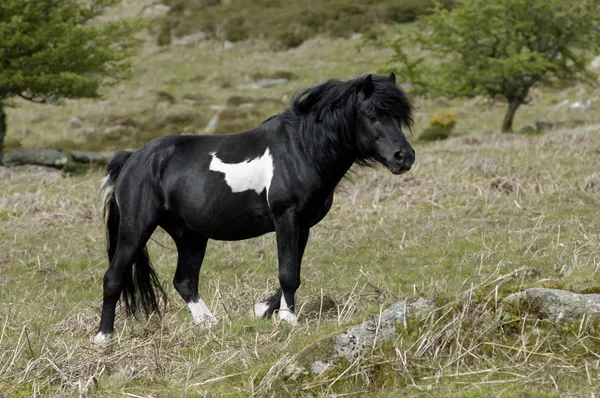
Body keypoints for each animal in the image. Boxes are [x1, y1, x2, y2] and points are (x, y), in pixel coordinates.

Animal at [95, 74, 412, 342]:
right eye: (372, 115)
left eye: (399, 116)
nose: (404, 157)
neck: (301, 149)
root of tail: (132, 159)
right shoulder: (286, 217)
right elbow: (288, 273)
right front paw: (288, 320)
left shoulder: (303, 224)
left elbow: (292, 270)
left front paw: (265, 310)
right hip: (136, 229)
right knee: (114, 277)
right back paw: (103, 337)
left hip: (190, 235)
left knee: (184, 281)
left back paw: (210, 324)